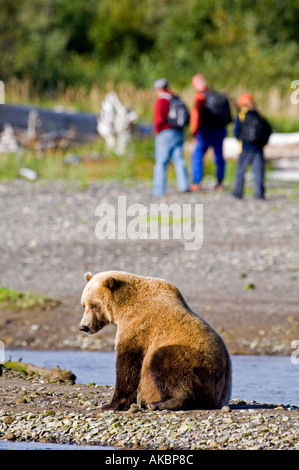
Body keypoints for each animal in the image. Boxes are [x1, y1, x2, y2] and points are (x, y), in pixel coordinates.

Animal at [79, 272, 232, 412]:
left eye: (94, 305)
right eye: (84, 305)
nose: (84, 327)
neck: (123, 307)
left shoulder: (139, 328)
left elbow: (128, 366)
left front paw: (111, 404)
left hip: (197, 362)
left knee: (165, 363)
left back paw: (159, 403)